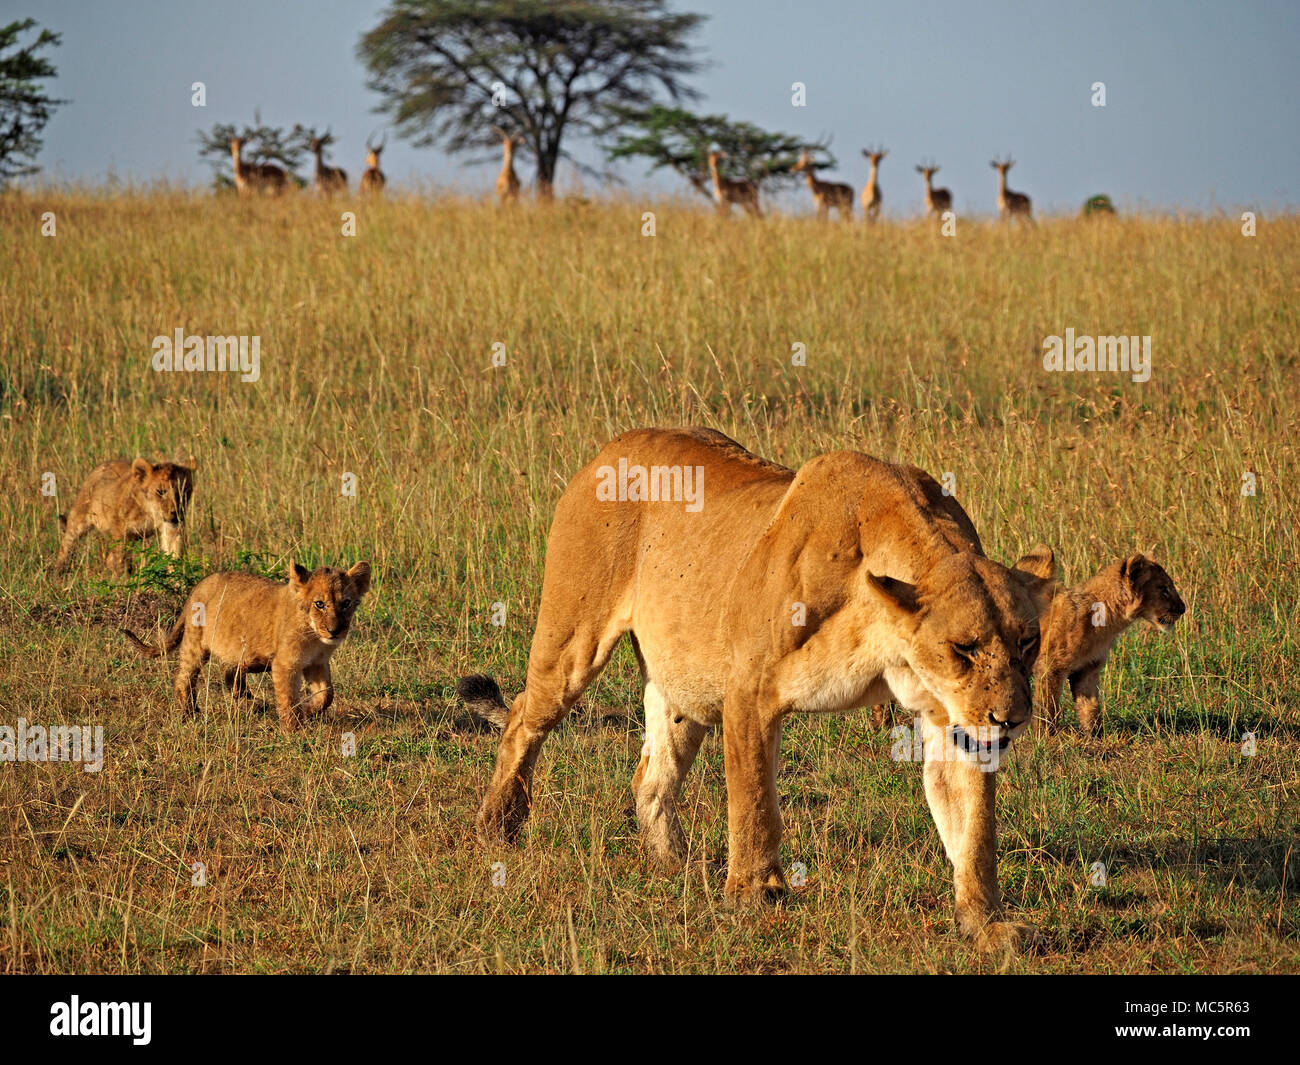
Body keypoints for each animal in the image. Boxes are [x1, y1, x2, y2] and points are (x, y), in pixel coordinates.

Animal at [54, 457, 196, 575]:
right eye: (161, 492)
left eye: (184, 491)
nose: (176, 512)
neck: (150, 513)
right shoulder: (120, 529)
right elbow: (121, 561)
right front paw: (124, 582)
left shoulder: (171, 528)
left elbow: (174, 555)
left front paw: (176, 583)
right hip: (80, 516)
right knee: (67, 543)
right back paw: (59, 572)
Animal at [122, 560, 371, 733]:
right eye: (319, 604)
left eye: (346, 603)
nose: (334, 630)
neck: (314, 637)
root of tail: (197, 587)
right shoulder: (285, 664)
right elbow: (288, 698)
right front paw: (294, 729)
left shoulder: (317, 663)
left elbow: (326, 694)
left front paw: (309, 710)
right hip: (196, 643)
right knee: (185, 677)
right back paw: (190, 714)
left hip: (243, 653)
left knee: (230, 674)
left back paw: (253, 703)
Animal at [460, 428, 1052, 950]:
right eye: (964, 648)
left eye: (1027, 642)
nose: (1011, 718)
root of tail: (610, 447)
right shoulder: (749, 688)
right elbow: (753, 803)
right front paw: (755, 894)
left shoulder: (951, 719)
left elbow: (973, 830)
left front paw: (986, 925)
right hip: (573, 642)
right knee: (522, 717)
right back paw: (497, 829)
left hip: (686, 687)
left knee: (651, 775)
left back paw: (676, 864)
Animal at [1036, 553, 1185, 735]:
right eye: (1164, 589)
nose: (1183, 608)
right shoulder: (1050, 666)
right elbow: (1048, 707)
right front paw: (1045, 736)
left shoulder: (1087, 670)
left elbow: (1090, 707)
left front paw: (1095, 735)